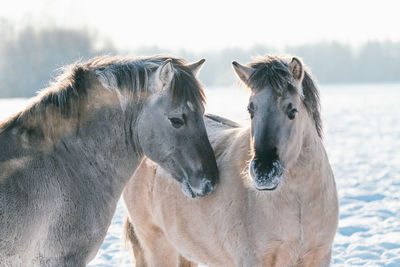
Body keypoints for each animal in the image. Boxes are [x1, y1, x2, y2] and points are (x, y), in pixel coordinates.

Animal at [123, 55, 340, 266]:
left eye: (292, 111)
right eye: (251, 109)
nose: (263, 172)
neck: (299, 201)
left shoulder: (319, 256)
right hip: (159, 246)